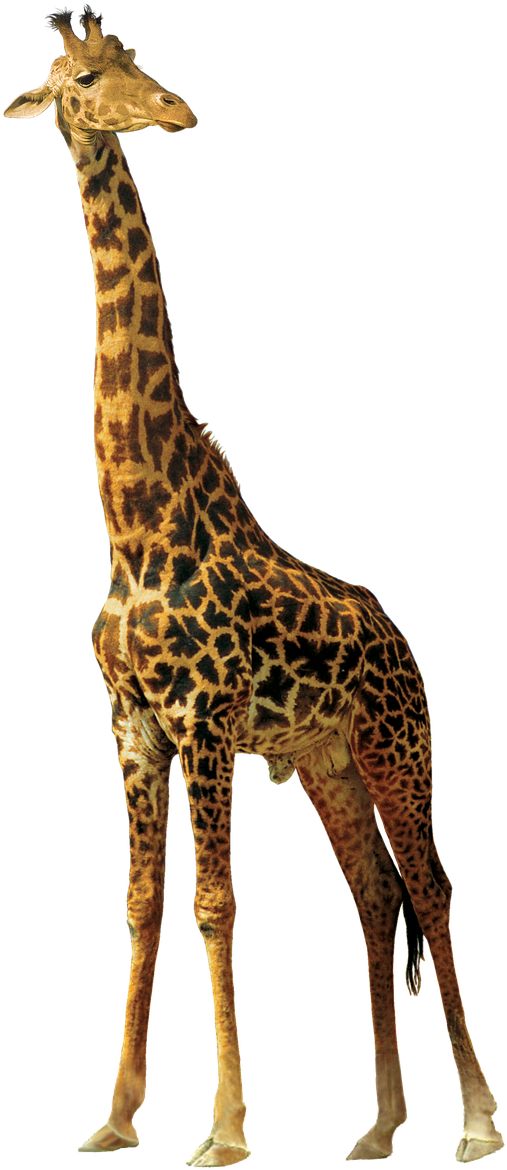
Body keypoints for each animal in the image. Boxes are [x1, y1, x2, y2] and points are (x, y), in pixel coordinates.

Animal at [4, 7, 504, 1167]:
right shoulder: (134, 727)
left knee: (433, 889)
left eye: (137, 61)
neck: (138, 522)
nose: (176, 111)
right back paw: (377, 1129)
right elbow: (143, 907)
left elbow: (216, 905)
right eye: (84, 80)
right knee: (371, 898)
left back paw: (477, 1123)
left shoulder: (205, 716)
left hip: (396, 744)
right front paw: (115, 1118)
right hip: (327, 759)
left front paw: (224, 1130)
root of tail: (400, 637)